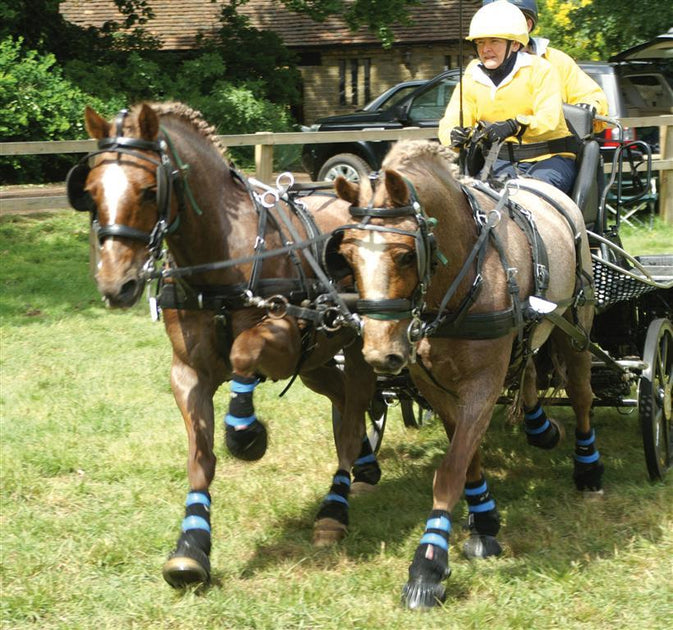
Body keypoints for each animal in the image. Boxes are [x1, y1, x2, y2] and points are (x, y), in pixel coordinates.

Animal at [68, 101, 384, 592]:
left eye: (147, 190)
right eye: (90, 190)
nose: (115, 284)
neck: (221, 255)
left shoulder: (282, 335)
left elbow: (242, 358)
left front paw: (247, 434)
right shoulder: (187, 372)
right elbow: (201, 459)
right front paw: (191, 548)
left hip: (354, 348)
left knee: (351, 416)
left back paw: (335, 507)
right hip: (315, 360)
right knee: (342, 398)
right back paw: (365, 464)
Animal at [328, 141, 600, 608]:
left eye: (405, 254)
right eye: (346, 256)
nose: (380, 353)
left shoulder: (483, 385)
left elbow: (450, 468)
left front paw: (428, 565)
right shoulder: (433, 384)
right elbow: (466, 449)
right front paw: (484, 519)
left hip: (574, 324)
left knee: (582, 394)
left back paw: (588, 469)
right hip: (529, 330)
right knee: (529, 368)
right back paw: (540, 428)